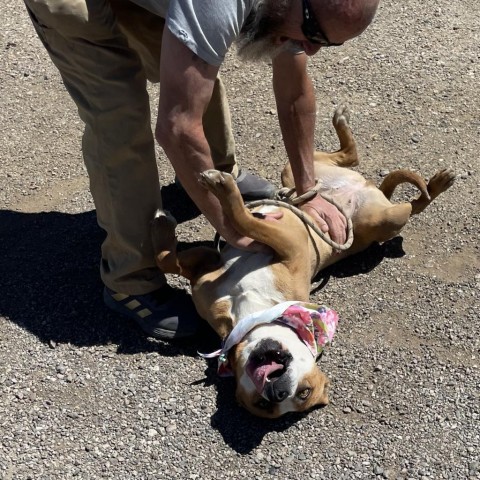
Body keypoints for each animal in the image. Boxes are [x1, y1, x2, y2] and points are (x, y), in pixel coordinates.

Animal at [152, 107, 456, 418]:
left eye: (303, 393)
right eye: (262, 404)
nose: (277, 392)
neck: (253, 309)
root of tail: (370, 189)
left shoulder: (285, 242)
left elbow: (241, 217)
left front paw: (222, 189)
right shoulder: (208, 269)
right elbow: (166, 260)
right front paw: (163, 226)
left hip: (388, 220)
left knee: (413, 204)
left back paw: (437, 184)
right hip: (295, 172)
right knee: (346, 157)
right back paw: (344, 126)